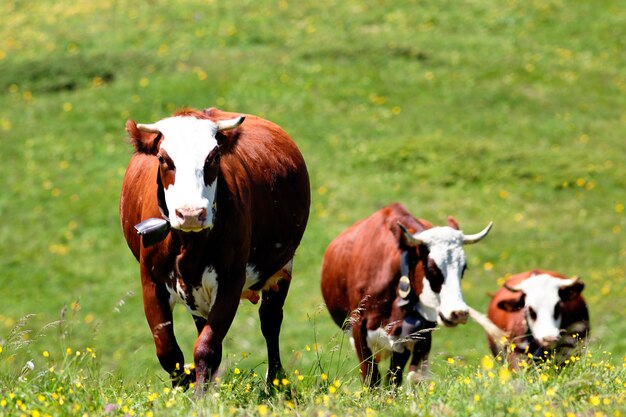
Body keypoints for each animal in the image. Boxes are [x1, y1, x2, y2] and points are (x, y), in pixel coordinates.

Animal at [118, 107, 308, 394]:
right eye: (163, 158)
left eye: (214, 157)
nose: (190, 213)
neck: (190, 243)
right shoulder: (151, 282)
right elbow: (168, 351)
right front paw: (182, 388)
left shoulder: (230, 280)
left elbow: (207, 346)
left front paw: (200, 395)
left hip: (281, 268)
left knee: (270, 321)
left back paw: (274, 380)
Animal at [320, 203, 490, 386]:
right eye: (431, 268)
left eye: (463, 269)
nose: (458, 313)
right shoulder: (359, 328)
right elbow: (371, 378)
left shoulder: (409, 335)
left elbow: (394, 379)